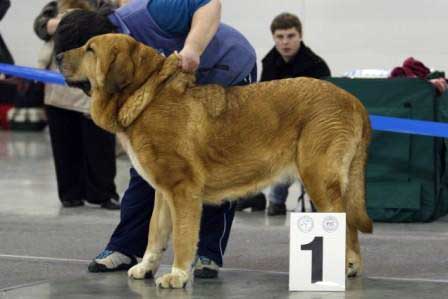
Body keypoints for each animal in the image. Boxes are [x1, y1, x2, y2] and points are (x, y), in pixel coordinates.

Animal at [57, 34, 372, 290]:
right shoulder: (163, 193)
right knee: (351, 226)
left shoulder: (183, 191)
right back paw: (351, 266)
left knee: (343, 223)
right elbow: (154, 234)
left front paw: (177, 276)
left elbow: (183, 237)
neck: (146, 95)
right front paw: (146, 267)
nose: (58, 56)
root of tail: (354, 101)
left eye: (90, 49)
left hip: (318, 179)